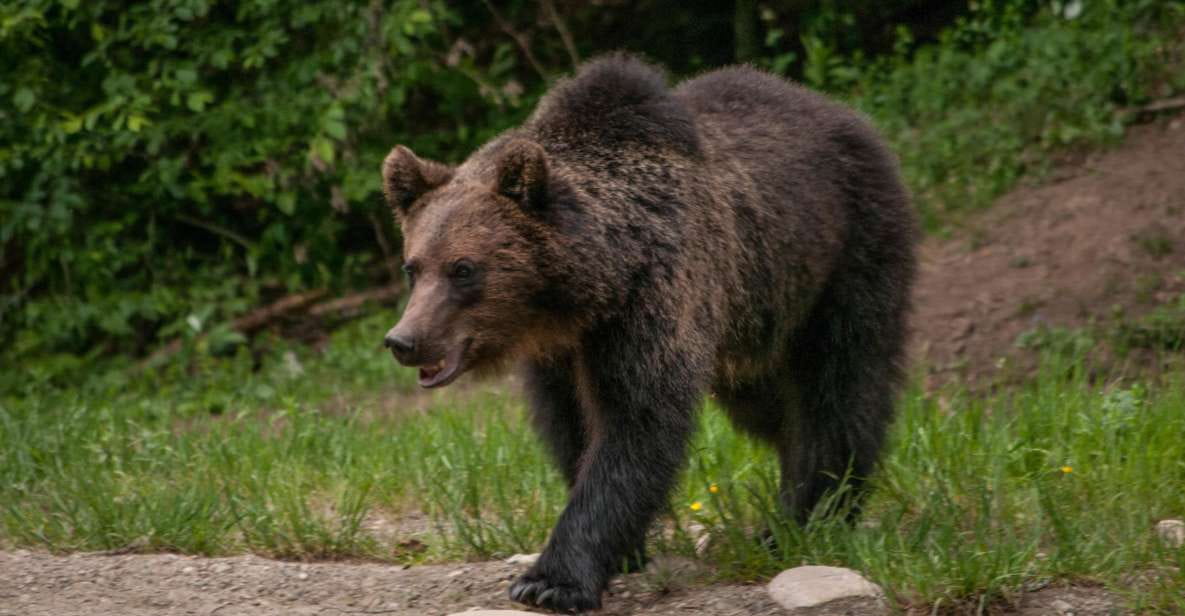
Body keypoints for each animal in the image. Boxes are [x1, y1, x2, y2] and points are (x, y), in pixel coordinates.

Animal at [380, 53, 916, 612]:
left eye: (463, 269)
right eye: (413, 267)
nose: (404, 340)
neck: (588, 290)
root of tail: (847, 114)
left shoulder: (654, 300)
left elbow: (636, 424)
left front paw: (552, 579)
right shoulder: (560, 353)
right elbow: (572, 427)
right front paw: (623, 550)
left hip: (844, 253)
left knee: (838, 385)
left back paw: (809, 516)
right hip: (755, 313)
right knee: (770, 404)